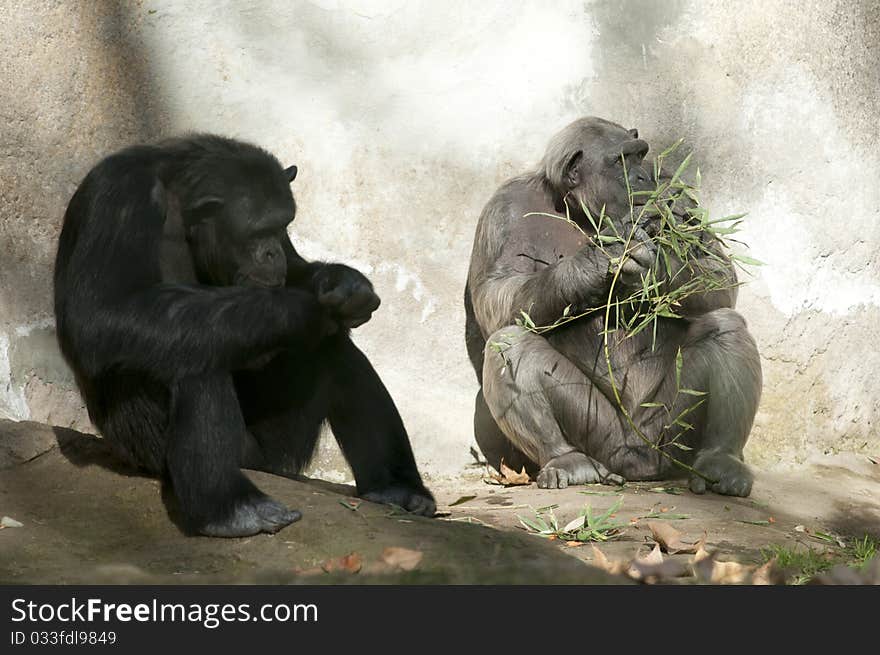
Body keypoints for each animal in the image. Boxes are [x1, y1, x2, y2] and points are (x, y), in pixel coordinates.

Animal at [55, 135, 436, 540]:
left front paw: (344, 284)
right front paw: (301, 310)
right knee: (192, 356)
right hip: (162, 447)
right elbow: (103, 314)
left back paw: (397, 488)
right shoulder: (119, 197)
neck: (181, 208)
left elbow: (298, 270)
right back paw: (231, 508)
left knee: (339, 353)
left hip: (278, 452)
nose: (271, 251)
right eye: (256, 231)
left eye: (283, 224)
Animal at [468, 116, 764, 498]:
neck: (579, 209)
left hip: (669, 432)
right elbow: (496, 294)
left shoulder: (674, 188)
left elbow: (717, 269)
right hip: (601, 436)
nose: (640, 177)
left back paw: (720, 462)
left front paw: (654, 266)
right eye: (620, 161)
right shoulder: (504, 210)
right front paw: (592, 266)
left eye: (640, 155)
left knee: (725, 326)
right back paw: (568, 461)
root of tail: (638, 466)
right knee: (509, 343)